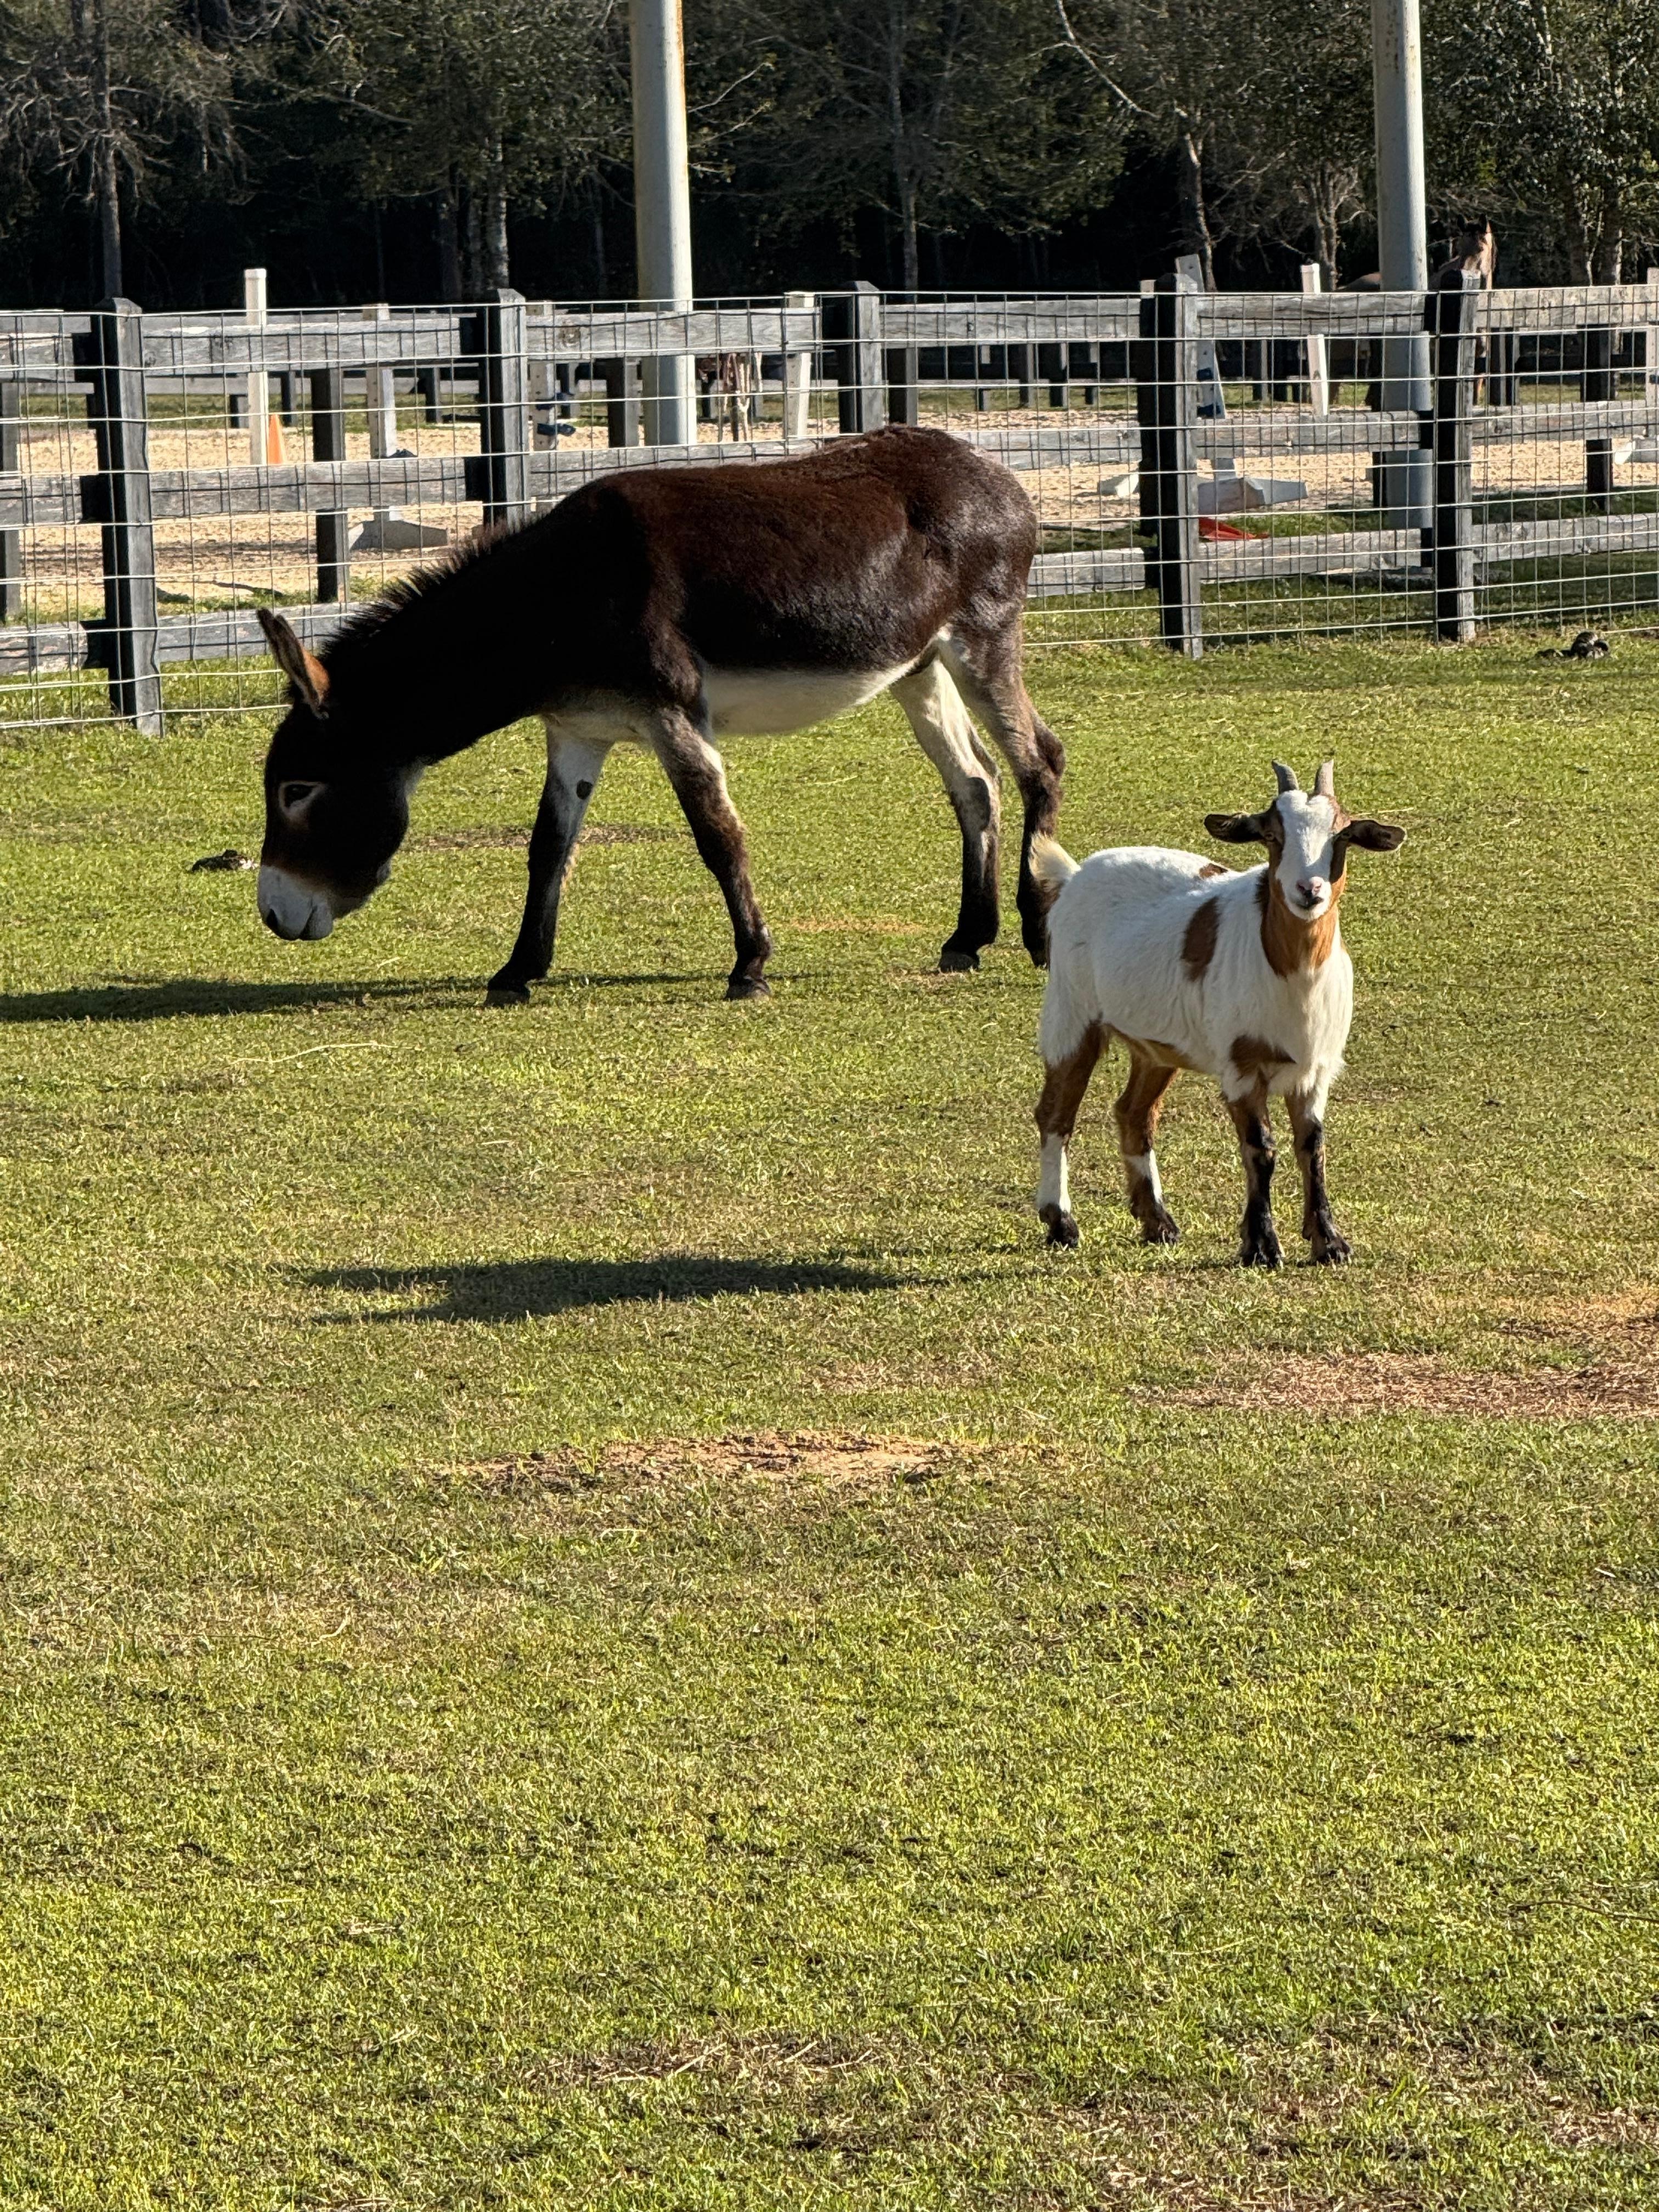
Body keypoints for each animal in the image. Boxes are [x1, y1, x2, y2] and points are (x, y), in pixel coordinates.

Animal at [255, 424, 1065, 1004]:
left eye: (297, 791)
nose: (271, 917)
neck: (559, 597)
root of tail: (994, 471)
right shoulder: (578, 731)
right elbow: (549, 846)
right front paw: (518, 971)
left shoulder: (673, 716)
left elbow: (718, 837)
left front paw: (750, 967)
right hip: (917, 667)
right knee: (977, 782)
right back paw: (968, 938)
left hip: (984, 640)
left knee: (1039, 763)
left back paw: (1037, 932)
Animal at [1029, 759, 1404, 1266]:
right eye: (1271, 835)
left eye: (1342, 835)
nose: (1309, 890)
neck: (1293, 972)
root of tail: (1074, 874)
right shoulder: (1241, 1067)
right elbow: (1260, 1148)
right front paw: (1261, 1246)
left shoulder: (1316, 1070)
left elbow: (1312, 1147)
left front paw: (1329, 1242)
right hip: (1072, 1012)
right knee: (1055, 1115)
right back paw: (1061, 1223)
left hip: (1156, 1046)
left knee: (1134, 1113)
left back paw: (1159, 1223)